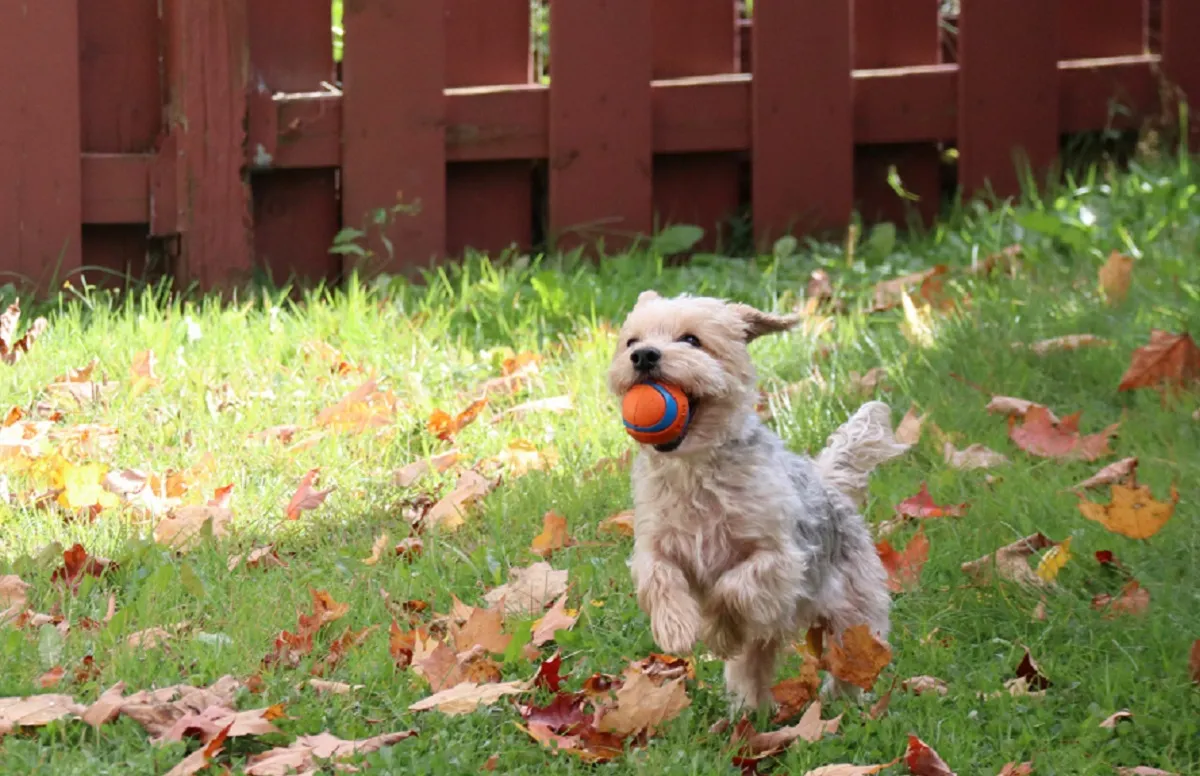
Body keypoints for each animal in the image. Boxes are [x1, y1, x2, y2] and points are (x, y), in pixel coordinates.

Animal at [604, 291, 902, 710]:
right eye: (631, 341)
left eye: (692, 340)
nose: (644, 355)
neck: (694, 469)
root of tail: (828, 483)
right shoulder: (656, 542)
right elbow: (657, 577)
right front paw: (675, 626)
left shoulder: (779, 558)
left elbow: (732, 586)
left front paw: (718, 629)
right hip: (767, 641)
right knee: (752, 666)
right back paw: (751, 710)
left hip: (854, 611)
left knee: (852, 655)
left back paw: (841, 701)